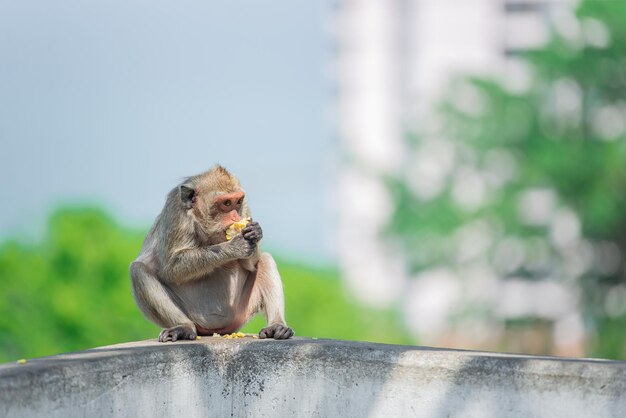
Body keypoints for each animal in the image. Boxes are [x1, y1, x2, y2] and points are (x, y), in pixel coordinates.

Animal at [129, 165, 292, 342]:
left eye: (237, 202)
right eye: (226, 203)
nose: (236, 217)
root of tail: (216, 330)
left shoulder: (246, 209)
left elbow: (250, 263)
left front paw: (255, 232)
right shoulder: (176, 210)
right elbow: (171, 268)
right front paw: (233, 247)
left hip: (241, 312)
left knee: (265, 259)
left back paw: (276, 325)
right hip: (196, 319)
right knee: (138, 270)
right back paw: (183, 327)